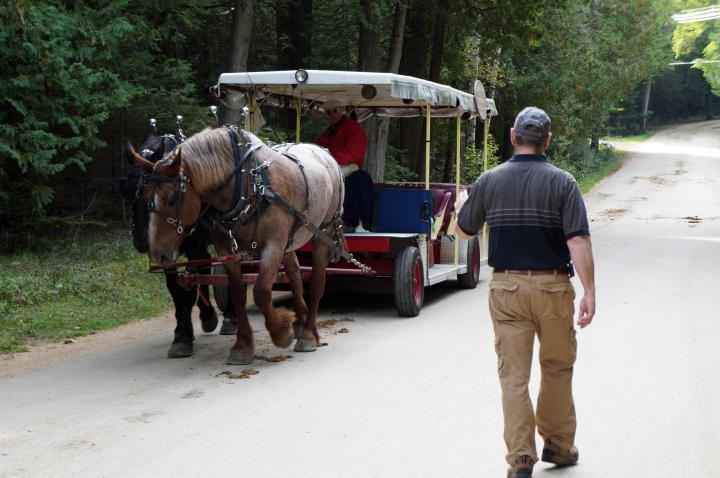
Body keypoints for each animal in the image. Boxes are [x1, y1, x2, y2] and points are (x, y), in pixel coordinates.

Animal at [119, 133, 238, 356]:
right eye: (127, 191)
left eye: (147, 191)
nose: (141, 241)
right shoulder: (165, 253)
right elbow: (176, 289)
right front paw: (182, 331)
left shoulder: (197, 246)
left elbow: (191, 286)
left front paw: (188, 332)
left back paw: (229, 316)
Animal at [132, 125, 346, 364]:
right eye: (144, 195)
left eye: (173, 197)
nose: (157, 254)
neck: (249, 181)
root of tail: (324, 153)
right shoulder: (227, 250)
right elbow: (236, 293)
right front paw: (242, 346)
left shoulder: (273, 244)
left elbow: (261, 291)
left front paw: (281, 332)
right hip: (291, 239)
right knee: (295, 273)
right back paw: (299, 321)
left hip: (323, 232)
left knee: (317, 281)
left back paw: (308, 334)